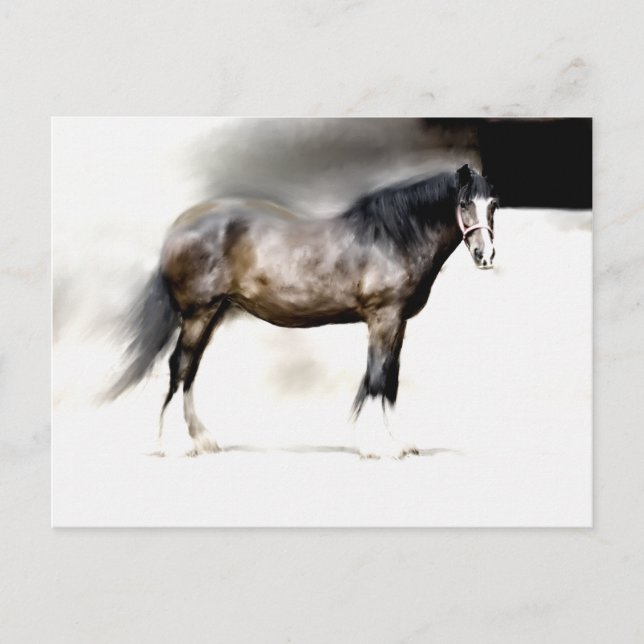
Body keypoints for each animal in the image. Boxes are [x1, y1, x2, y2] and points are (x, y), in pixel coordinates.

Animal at [107, 163, 497, 458]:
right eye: (465, 203)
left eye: (493, 204)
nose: (486, 256)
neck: (391, 238)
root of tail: (181, 225)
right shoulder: (383, 318)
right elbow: (377, 376)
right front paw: (377, 446)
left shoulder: (397, 322)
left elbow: (390, 380)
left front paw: (396, 442)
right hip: (197, 312)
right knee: (180, 366)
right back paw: (176, 445)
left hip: (214, 313)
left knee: (191, 370)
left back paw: (203, 440)